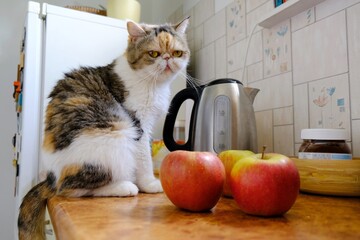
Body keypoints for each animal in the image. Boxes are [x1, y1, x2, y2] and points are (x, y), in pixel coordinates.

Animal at [17, 17, 190, 240]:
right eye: (153, 54)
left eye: (177, 53)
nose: (168, 59)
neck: (152, 84)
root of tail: (51, 178)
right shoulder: (139, 124)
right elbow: (144, 158)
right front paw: (150, 183)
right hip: (116, 136)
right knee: (70, 189)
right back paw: (125, 186)